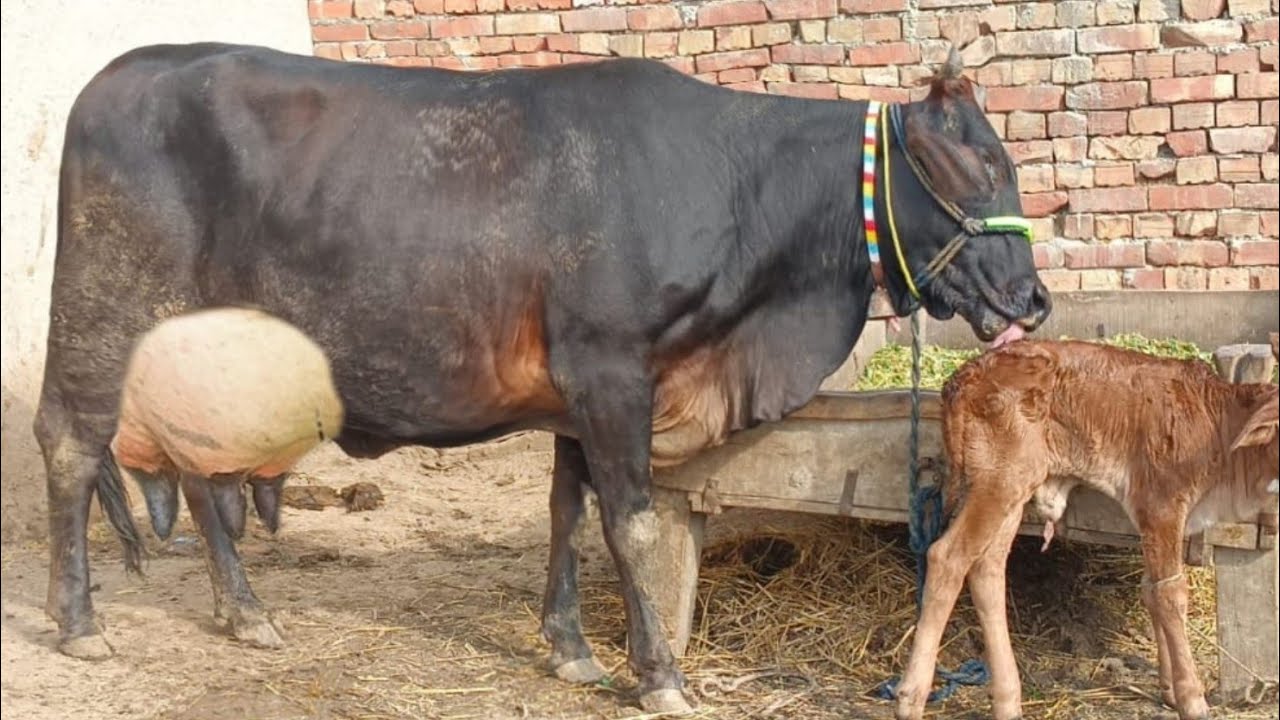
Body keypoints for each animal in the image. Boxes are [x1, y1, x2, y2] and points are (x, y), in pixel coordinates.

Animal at [894, 340, 1280, 720]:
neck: (1217, 427)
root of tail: (962, 377)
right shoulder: (1162, 505)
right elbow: (1170, 593)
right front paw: (1191, 697)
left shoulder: (1150, 521)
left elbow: (1150, 589)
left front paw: (1169, 688)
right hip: (997, 483)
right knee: (947, 557)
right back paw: (911, 697)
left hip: (1012, 491)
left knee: (987, 568)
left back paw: (1008, 700)